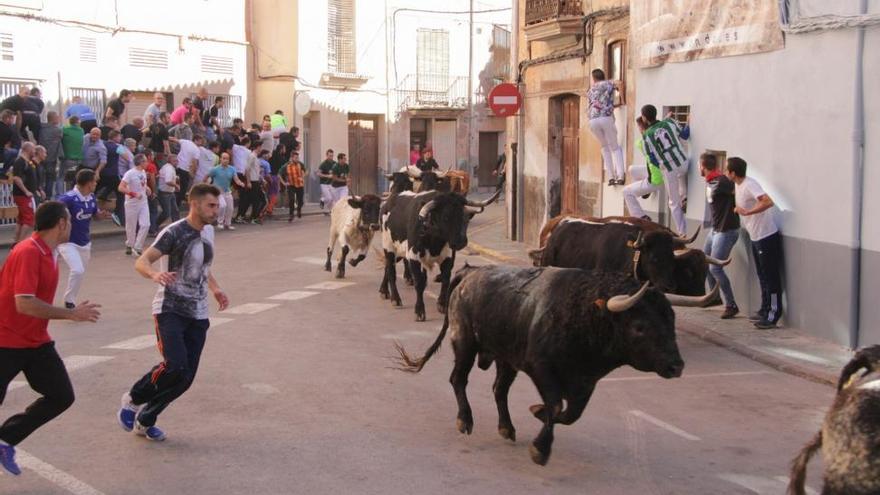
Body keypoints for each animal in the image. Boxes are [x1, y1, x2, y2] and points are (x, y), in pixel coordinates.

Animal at [380, 189, 498, 322]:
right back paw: (395, 298)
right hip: (389, 247)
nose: (461, 241)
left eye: (465, 217)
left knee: (387, 267)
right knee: (391, 270)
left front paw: (441, 304)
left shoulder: (447, 257)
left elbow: (445, 280)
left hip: (399, 251)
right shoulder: (413, 256)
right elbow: (418, 283)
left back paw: (384, 290)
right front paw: (419, 311)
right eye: (446, 217)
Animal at [396, 266, 720, 466]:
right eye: (640, 327)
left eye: (672, 319)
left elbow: (571, 414)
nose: (676, 366)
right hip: (465, 342)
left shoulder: (586, 382)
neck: (584, 313)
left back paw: (507, 428)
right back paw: (465, 420)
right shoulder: (541, 368)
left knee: (499, 389)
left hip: (506, 357)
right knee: (458, 379)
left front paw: (536, 413)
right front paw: (540, 449)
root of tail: (470, 273)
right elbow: (555, 407)